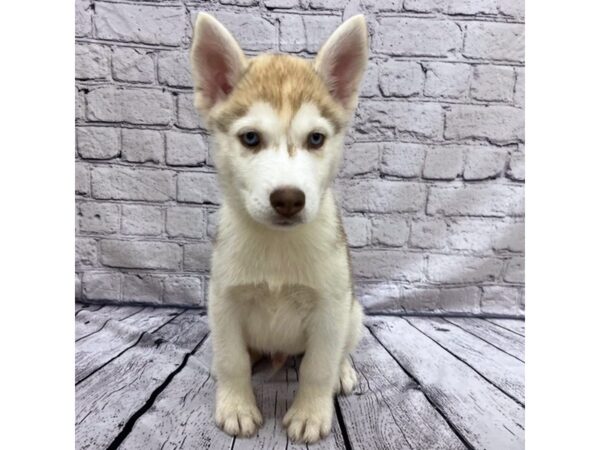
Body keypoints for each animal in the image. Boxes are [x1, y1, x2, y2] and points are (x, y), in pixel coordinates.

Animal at [192, 13, 368, 442]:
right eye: (251, 138)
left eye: (316, 138)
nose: (288, 199)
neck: (276, 245)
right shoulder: (224, 302)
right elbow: (234, 361)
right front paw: (236, 407)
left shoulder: (330, 308)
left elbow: (317, 367)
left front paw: (311, 414)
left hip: (353, 313)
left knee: (340, 351)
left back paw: (343, 373)